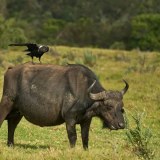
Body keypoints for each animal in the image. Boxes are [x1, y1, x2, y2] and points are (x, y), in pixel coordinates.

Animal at [0, 62, 129, 149]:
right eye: (108, 106)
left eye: (121, 108)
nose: (121, 125)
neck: (84, 92)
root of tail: (11, 69)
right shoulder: (69, 119)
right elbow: (73, 137)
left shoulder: (87, 120)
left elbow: (85, 137)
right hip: (6, 103)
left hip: (18, 112)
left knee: (12, 125)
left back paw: (10, 145)